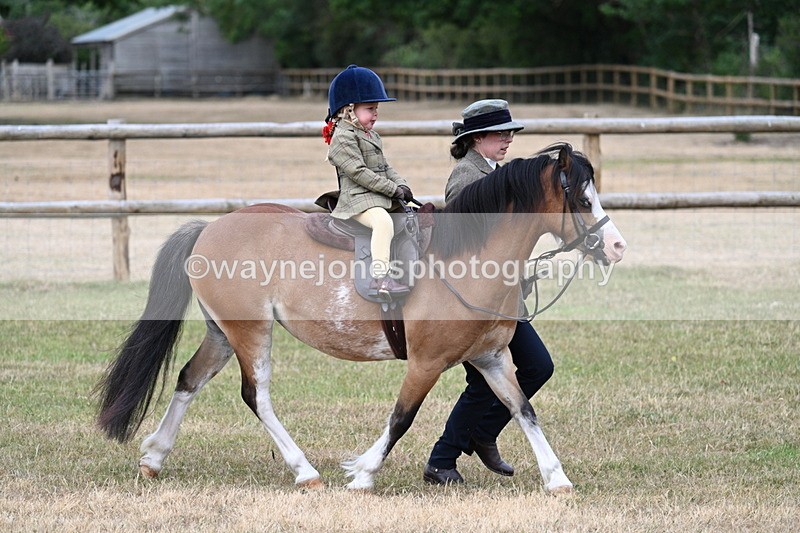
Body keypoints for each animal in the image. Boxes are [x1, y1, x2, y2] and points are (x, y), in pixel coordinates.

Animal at [96, 142, 626, 493]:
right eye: (582, 199)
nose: (617, 246)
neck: (466, 257)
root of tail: (209, 228)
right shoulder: (426, 362)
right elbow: (401, 417)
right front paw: (362, 473)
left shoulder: (491, 359)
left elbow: (524, 410)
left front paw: (557, 477)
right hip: (251, 332)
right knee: (256, 396)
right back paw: (305, 471)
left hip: (223, 333)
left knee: (189, 379)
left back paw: (154, 458)